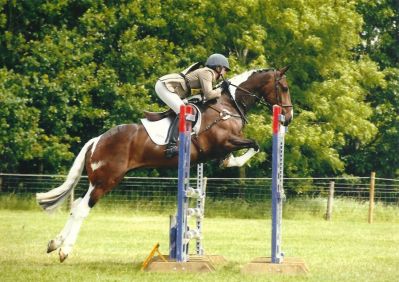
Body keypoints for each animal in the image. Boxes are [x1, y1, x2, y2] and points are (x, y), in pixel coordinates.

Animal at [36, 66, 294, 262]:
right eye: (284, 88)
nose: (288, 118)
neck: (227, 106)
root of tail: (97, 140)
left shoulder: (220, 149)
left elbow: (235, 156)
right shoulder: (225, 141)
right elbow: (255, 145)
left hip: (98, 180)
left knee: (76, 205)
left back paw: (53, 243)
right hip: (107, 180)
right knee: (82, 209)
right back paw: (64, 250)